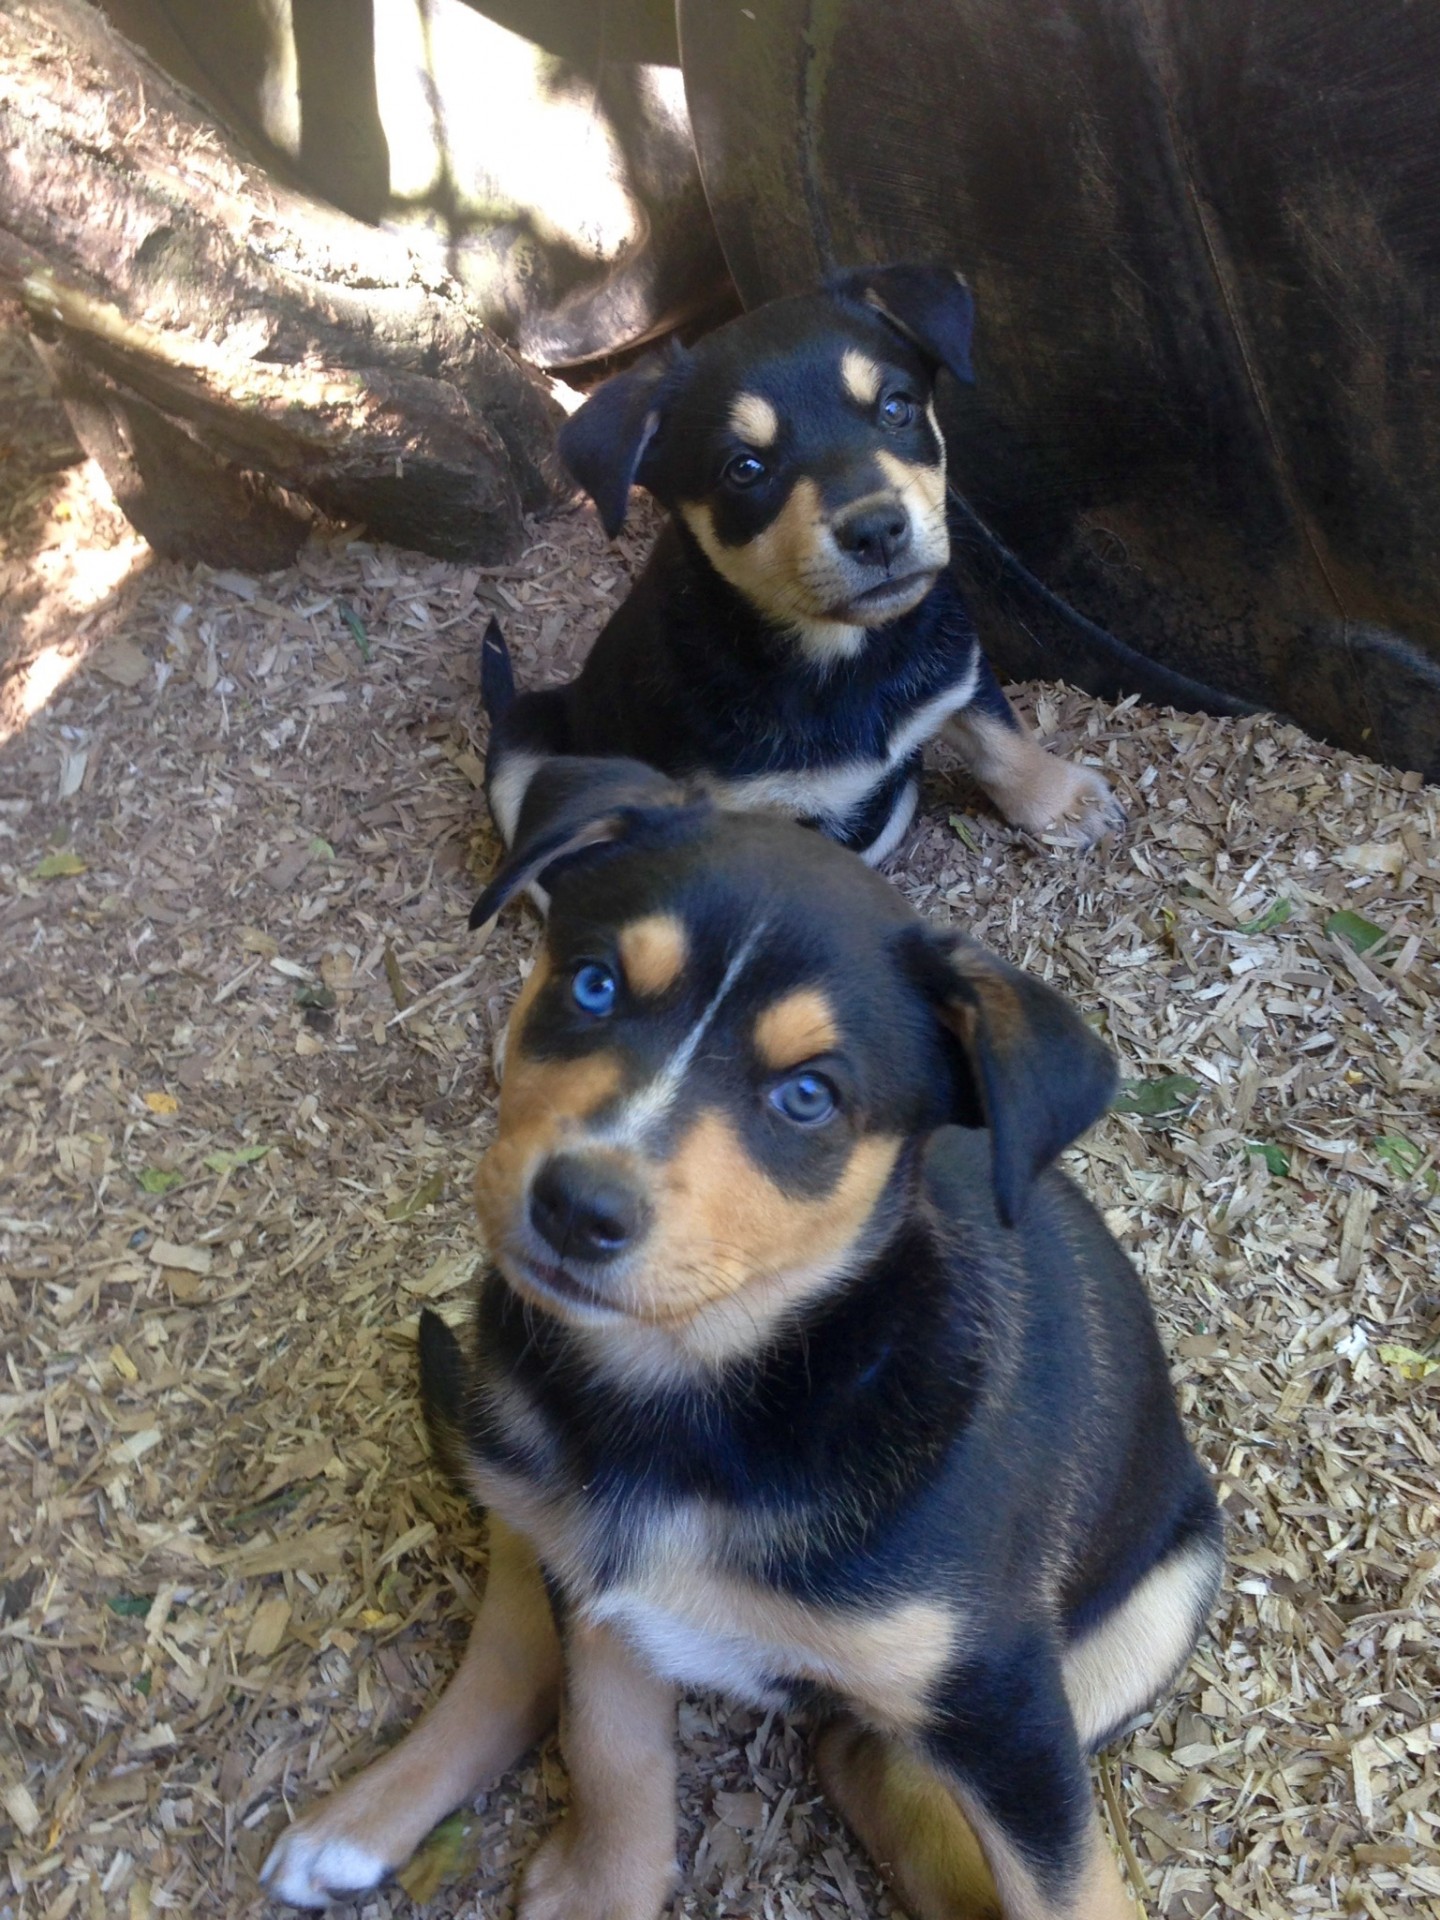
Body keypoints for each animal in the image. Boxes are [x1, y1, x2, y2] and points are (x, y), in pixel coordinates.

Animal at [259, 760, 1221, 1920]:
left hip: (1159, 1597)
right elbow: (611, 1751)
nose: (577, 1209)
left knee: (874, 1760)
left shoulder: (1005, 1702)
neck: (697, 1396)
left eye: (808, 1095)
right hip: (526, 1483)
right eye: (593, 986)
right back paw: (358, 1823)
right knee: (520, 1640)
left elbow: (1070, 1887)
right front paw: (600, 1889)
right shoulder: (605, 1594)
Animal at [485, 261, 1128, 871]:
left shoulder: (956, 662)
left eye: (896, 408)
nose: (876, 531)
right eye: (744, 468)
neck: (843, 658)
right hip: (523, 733)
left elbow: (999, 734)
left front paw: (1065, 802)